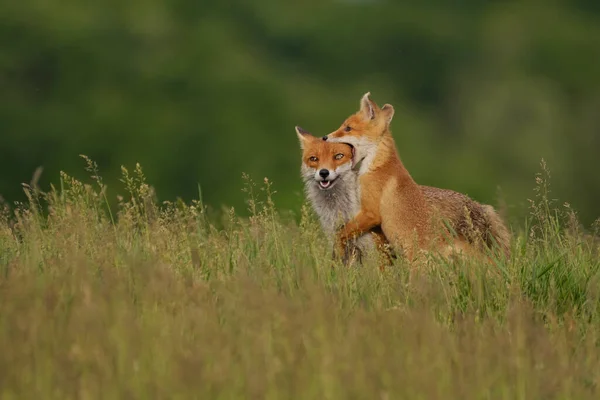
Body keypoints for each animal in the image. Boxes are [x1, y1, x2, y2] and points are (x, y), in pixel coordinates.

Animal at [296, 126, 394, 268]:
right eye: (314, 159)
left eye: (338, 156)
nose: (324, 172)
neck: (339, 210)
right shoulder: (340, 245)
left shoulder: (374, 249)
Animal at [324, 93, 510, 262]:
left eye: (347, 128)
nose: (325, 137)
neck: (379, 165)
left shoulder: (371, 212)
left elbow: (340, 234)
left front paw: (337, 253)